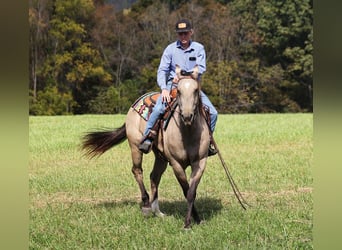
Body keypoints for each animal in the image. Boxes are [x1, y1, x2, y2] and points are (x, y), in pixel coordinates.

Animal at [83, 65, 211, 229]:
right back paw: (146, 205)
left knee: (154, 176)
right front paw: (188, 222)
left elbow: (191, 192)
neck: (187, 132)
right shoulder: (176, 164)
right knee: (137, 171)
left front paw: (195, 220)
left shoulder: (200, 162)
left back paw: (158, 212)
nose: (187, 116)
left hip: (161, 157)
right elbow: (185, 189)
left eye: (196, 90)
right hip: (135, 147)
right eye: (179, 91)